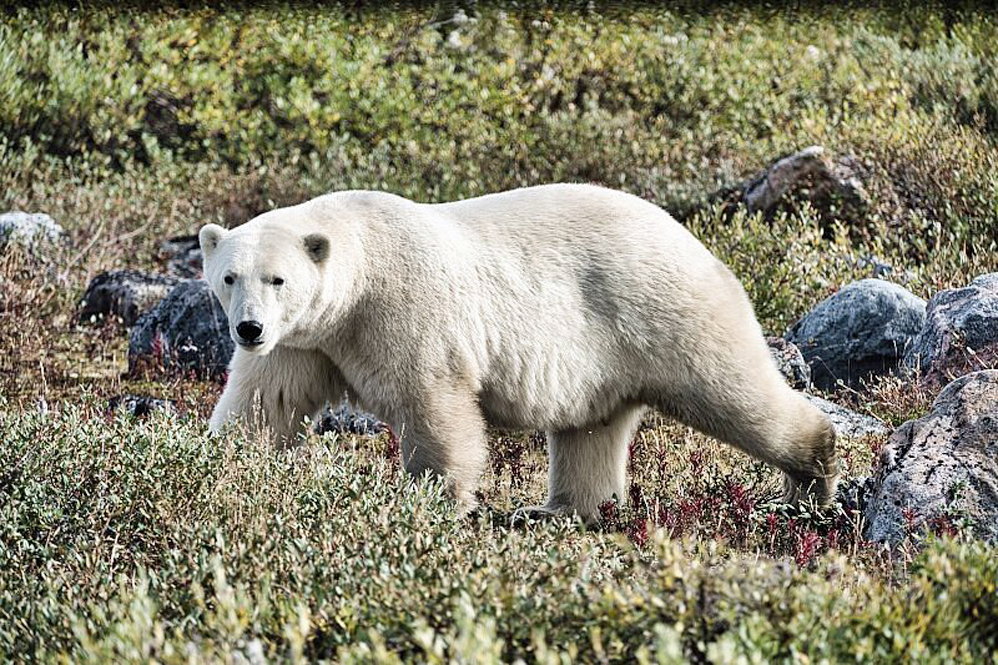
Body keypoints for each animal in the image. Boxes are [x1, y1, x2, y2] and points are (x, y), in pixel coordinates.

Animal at [201, 184, 836, 520]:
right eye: (229, 276)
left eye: (278, 278)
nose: (249, 329)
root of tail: (696, 241)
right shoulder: (304, 341)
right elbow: (263, 405)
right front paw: (219, 470)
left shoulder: (401, 311)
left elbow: (433, 404)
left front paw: (432, 502)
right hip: (604, 352)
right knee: (590, 430)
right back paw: (559, 510)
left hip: (661, 310)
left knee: (732, 391)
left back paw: (811, 476)